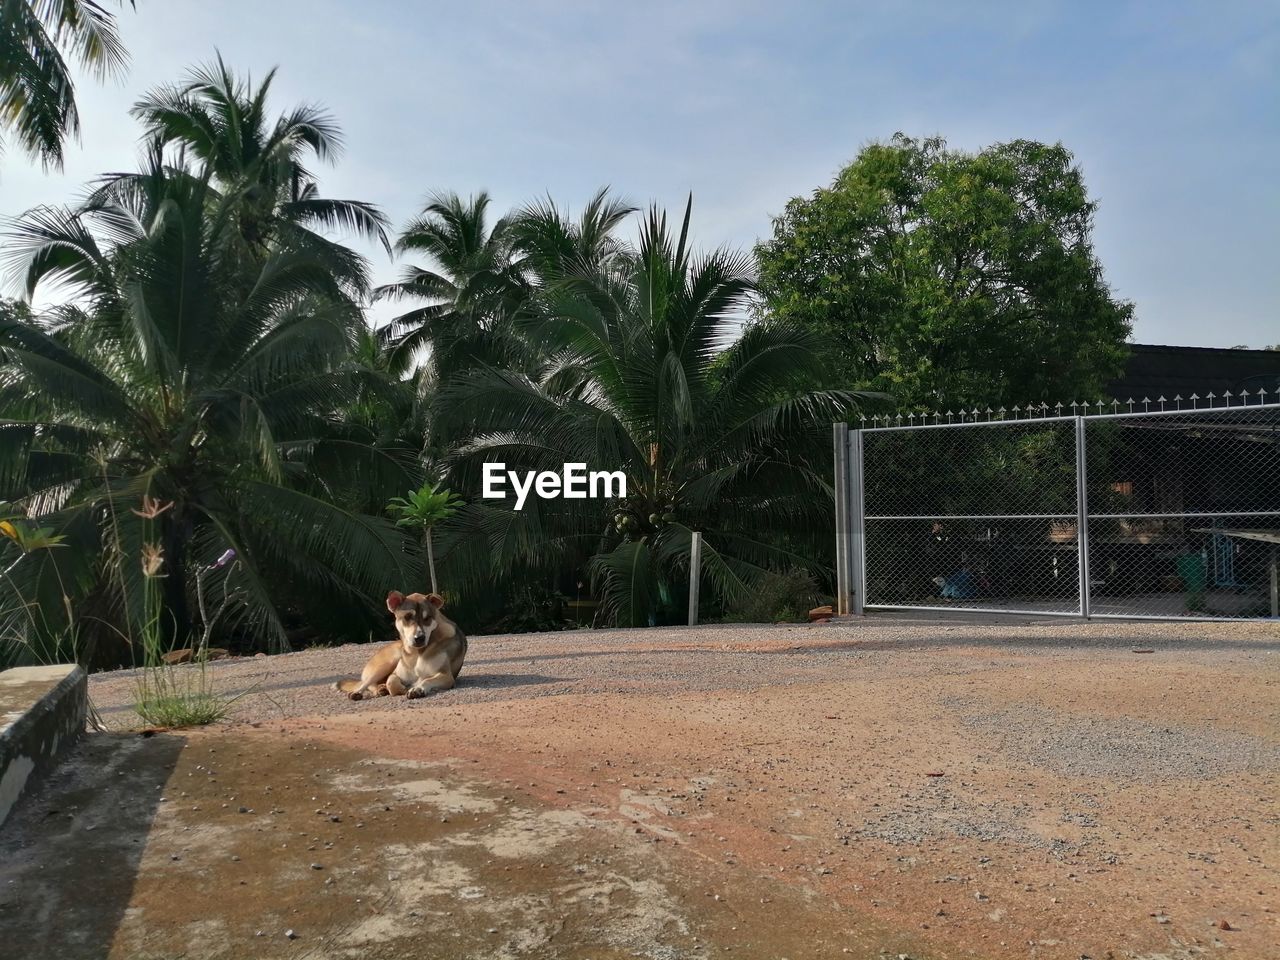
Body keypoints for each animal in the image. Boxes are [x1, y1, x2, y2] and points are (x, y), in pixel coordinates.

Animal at [332, 591, 468, 701]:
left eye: (427, 618)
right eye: (407, 617)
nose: (419, 638)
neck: (416, 653)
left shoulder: (446, 676)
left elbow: (426, 679)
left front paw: (417, 689)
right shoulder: (395, 674)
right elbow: (391, 682)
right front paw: (403, 689)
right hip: (387, 662)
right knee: (366, 683)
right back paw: (365, 691)